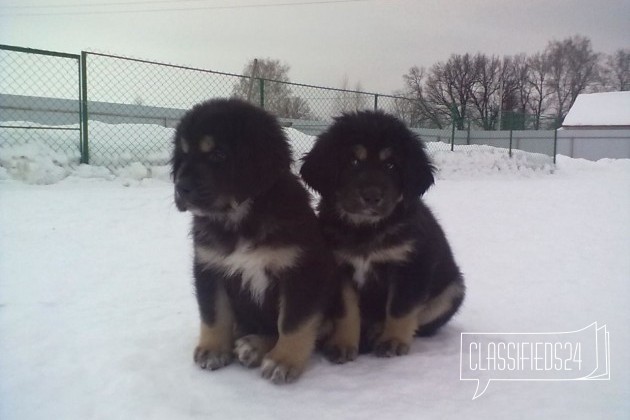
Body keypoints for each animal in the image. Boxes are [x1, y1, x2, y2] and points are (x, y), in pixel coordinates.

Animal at [170, 97, 344, 380]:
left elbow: (293, 322)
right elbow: (213, 313)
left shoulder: (302, 271)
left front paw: (283, 360)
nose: (180, 188)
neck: (242, 217)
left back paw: (253, 347)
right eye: (183, 155)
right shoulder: (208, 265)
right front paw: (212, 349)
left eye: (218, 155)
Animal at [298, 110, 466, 358]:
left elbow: (400, 309)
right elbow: (347, 311)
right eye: (353, 161)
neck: (366, 229)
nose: (372, 196)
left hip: (452, 290)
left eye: (391, 165)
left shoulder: (410, 265)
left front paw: (393, 341)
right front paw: (343, 344)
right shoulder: (340, 268)